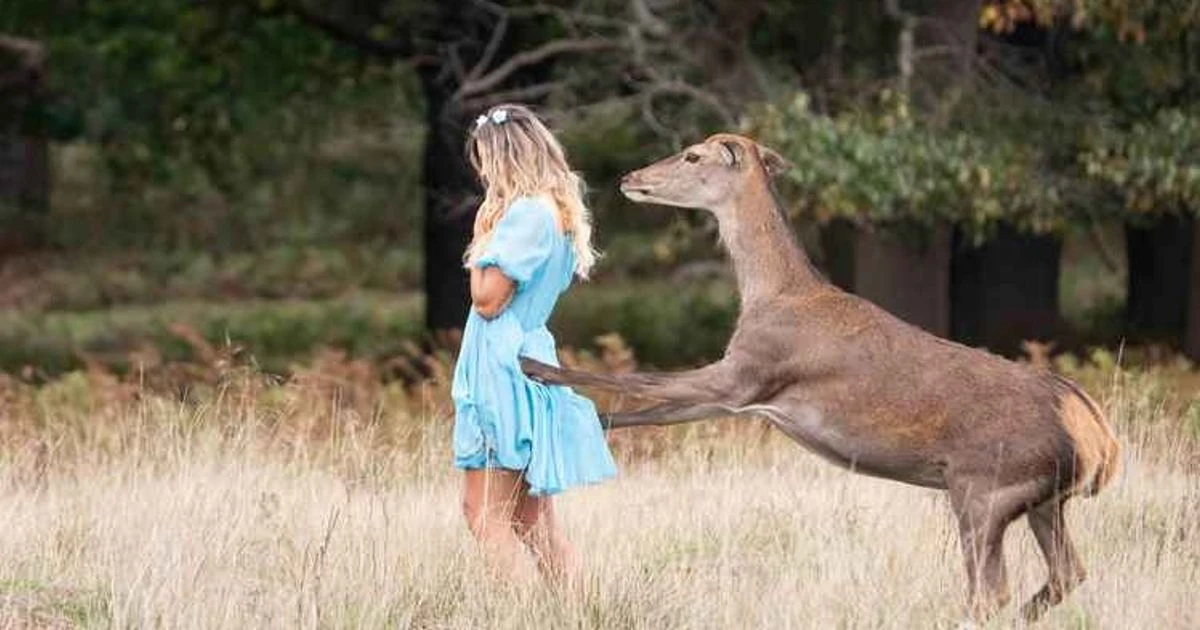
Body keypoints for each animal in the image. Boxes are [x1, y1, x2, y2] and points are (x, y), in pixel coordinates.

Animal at [521, 134, 1121, 623]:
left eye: (692, 155)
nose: (630, 178)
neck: (771, 294)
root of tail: (1100, 440)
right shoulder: (739, 392)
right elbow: (647, 411)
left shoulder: (748, 370)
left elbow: (641, 379)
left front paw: (536, 368)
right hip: (1042, 500)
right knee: (1067, 574)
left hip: (983, 486)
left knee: (990, 592)